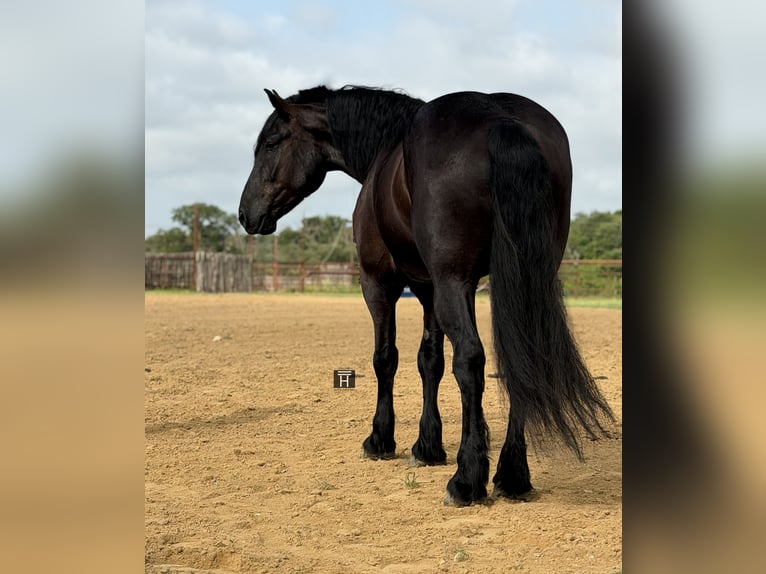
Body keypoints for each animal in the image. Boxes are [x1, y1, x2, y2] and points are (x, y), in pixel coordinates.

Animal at [238, 85, 613, 506]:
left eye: (271, 142)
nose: (245, 214)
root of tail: (500, 118)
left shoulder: (381, 283)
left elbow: (387, 358)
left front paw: (381, 440)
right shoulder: (428, 287)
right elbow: (429, 360)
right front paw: (428, 446)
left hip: (450, 282)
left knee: (470, 360)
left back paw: (466, 480)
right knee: (521, 358)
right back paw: (512, 475)